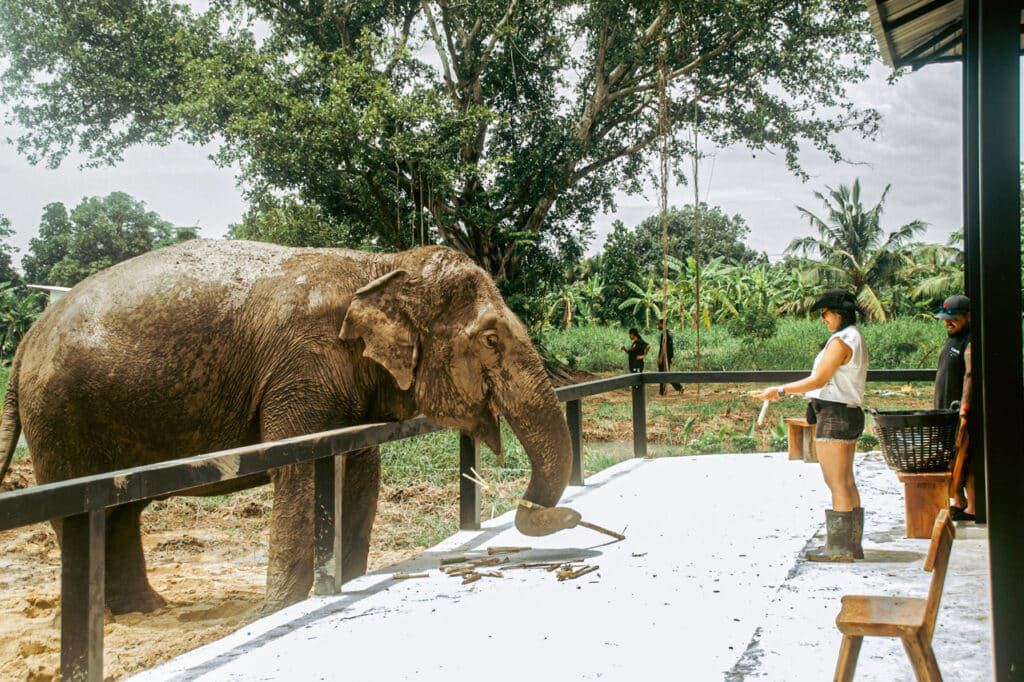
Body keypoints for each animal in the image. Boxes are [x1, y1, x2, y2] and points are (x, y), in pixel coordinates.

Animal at [0, 239, 580, 614]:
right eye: (490, 340)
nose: (554, 514)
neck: (379, 266)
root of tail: (27, 336)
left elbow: (360, 476)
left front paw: (344, 583)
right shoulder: (304, 369)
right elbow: (302, 477)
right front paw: (275, 612)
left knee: (120, 511)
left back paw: (145, 610)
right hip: (61, 419)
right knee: (85, 514)